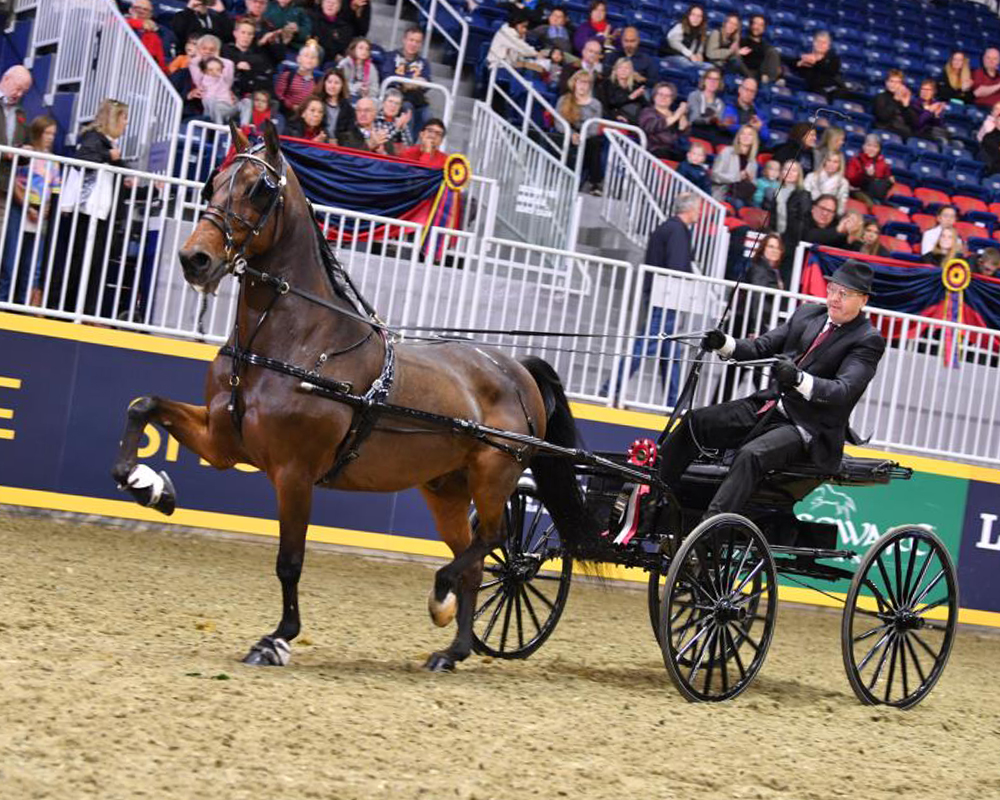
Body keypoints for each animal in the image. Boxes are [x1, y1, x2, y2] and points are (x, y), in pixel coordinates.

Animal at [110, 121, 593, 671]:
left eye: (260, 189)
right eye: (212, 183)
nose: (195, 259)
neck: (295, 344)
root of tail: (515, 368)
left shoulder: (294, 472)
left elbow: (289, 560)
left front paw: (277, 638)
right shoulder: (222, 442)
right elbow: (142, 406)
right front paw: (150, 487)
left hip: (494, 475)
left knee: (493, 543)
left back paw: (441, 598)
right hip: (445, 486)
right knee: (473, 559)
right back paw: (452, 651)